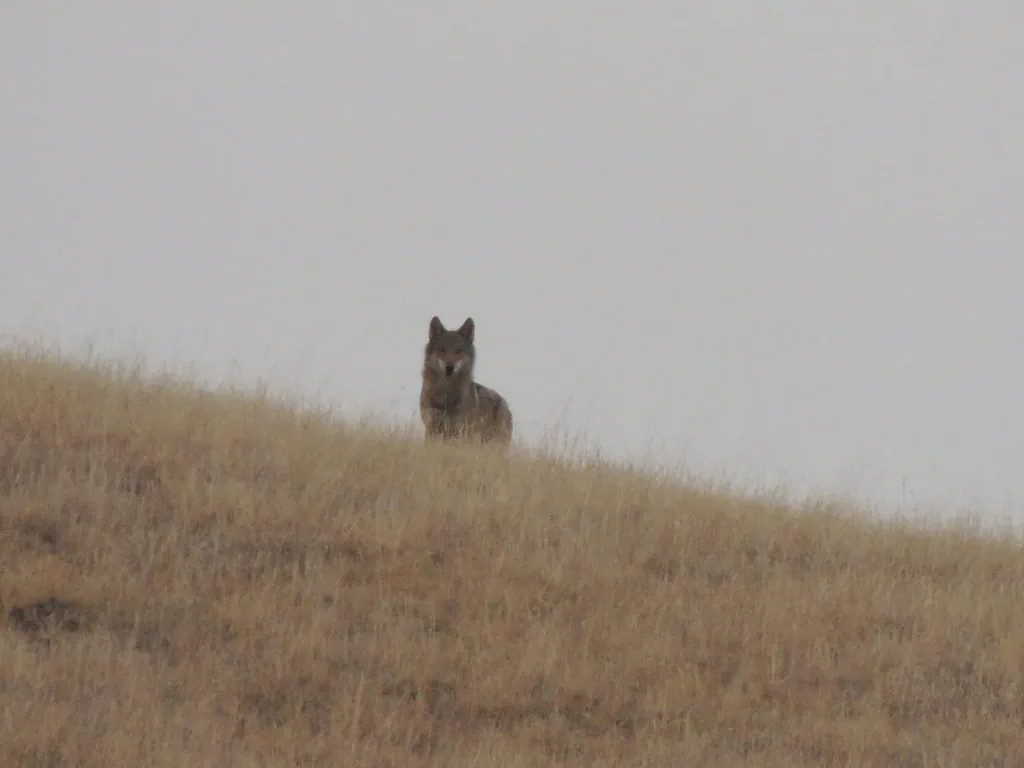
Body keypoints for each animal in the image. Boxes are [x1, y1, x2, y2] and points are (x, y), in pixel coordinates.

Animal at [420, 316, 513, 446]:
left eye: (459, 350)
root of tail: (504, 402)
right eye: (442, 349)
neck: (445, 395)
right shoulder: (431, 428)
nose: (449, 368)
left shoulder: (458, 430)